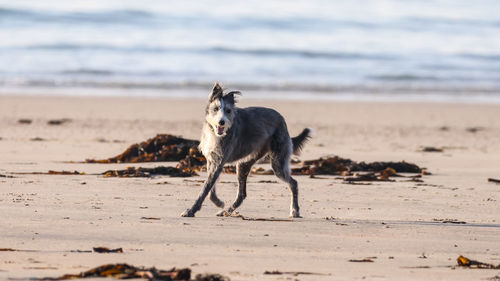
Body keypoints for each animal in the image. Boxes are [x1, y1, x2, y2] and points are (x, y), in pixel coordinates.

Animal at [182, 82, 310, 218]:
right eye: (216, 109)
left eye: (228, 111)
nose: (222, 122)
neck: (216, 133)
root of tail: (282, 119)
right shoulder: (211, 161)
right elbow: (211, 188)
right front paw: (218, 202)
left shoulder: (219, 162)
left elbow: (206, 188)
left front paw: (191, 210)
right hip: (243, 164)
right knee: (242, 194)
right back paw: (227, 211)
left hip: (278, 162)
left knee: (293, 183)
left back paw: (295, 210)